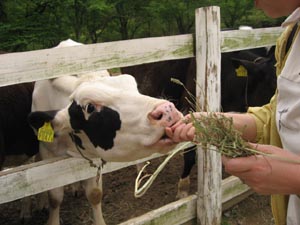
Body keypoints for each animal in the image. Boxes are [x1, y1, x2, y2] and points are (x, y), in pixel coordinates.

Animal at [28, 39, 183, 225]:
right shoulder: (47, 152)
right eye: (90, 107)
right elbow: (55, 197)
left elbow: (95, 194)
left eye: (134, 88)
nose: (167, 110)